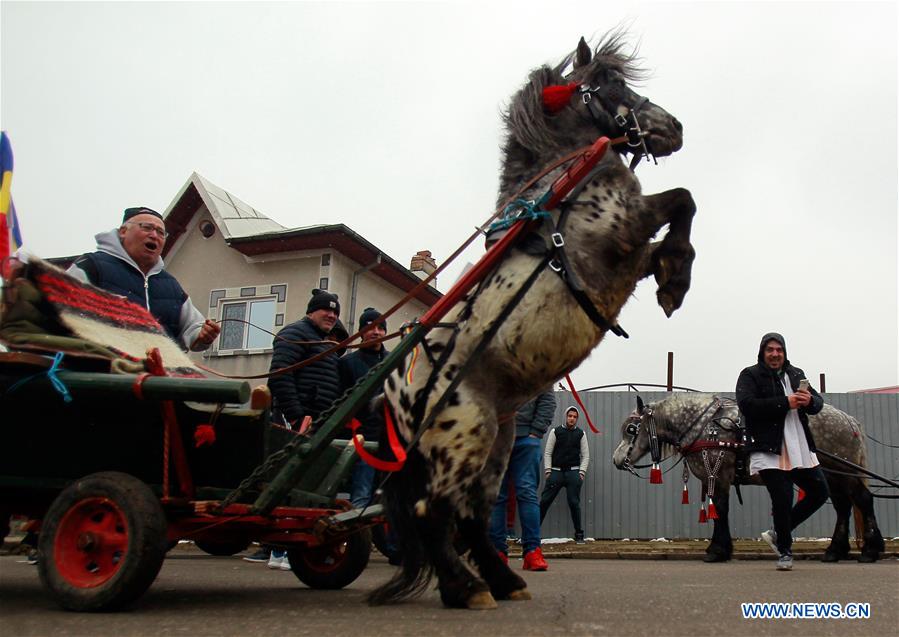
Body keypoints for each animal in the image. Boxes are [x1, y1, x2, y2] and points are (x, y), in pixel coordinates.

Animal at [370, 32, 700, 608]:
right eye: (610, 83)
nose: (674, 126)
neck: (561, 187)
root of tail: (396, 398)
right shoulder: (623, 228)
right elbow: (683, 199)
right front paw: (676, 276)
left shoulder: (630, 257)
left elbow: (680, 215)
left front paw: (672, 274)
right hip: (467, 438)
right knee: (435, 513)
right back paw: (466, 588)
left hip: (498, 444)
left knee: (471, 515)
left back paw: (503, 581)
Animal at [612, 396, 884, 564]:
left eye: (631, 430)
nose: (616, 460)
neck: (705, 427)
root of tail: (850, 421)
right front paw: (721, 549)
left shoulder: (719, 475)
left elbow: (720, 510)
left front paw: (716, 550)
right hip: (833, 475)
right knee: (843, 506)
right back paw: (835, 550)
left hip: (840, 471)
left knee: (863, 499)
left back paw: (870, 550)